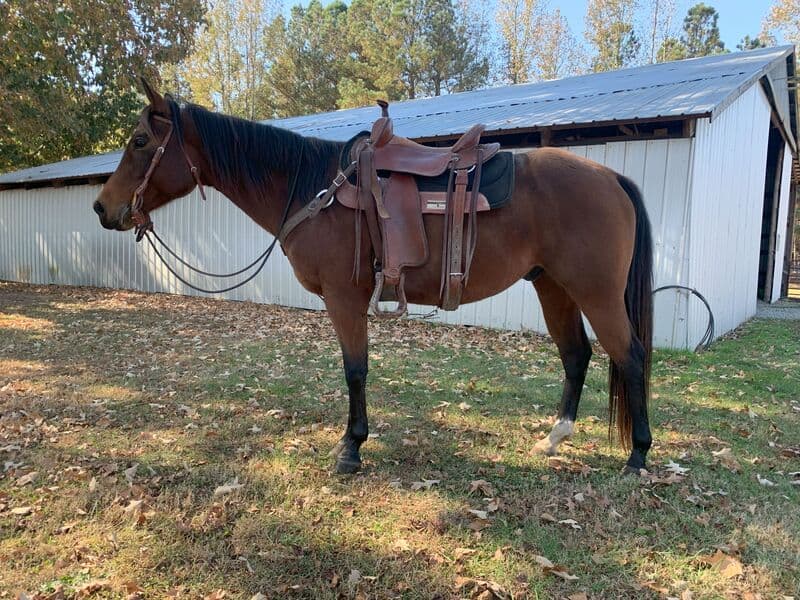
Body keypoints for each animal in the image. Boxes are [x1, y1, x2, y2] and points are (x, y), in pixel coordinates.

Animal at [93, 80, 654, 475]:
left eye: (140, 140)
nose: (102, 208)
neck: (311, 188)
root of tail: (612, 177)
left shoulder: (344, 298)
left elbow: (355, 370)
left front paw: (351, 448)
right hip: (553, 286)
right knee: (576, 355)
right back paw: (554, 439)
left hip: (595, 292)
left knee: (629, 356)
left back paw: (638, 456)